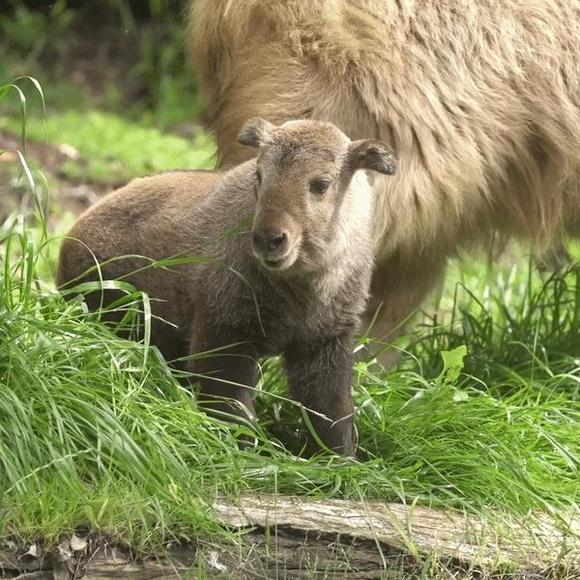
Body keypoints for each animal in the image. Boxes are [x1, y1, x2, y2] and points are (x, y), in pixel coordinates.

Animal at [56, 118, 396, 456]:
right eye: (259, 174)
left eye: (321, 183)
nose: (269, 239)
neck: (303, 293)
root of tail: (71, 236)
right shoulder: (224, 335)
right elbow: (233, 412)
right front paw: (243, 455)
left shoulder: (325, 343)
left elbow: (332, 416)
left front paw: (339, 460)